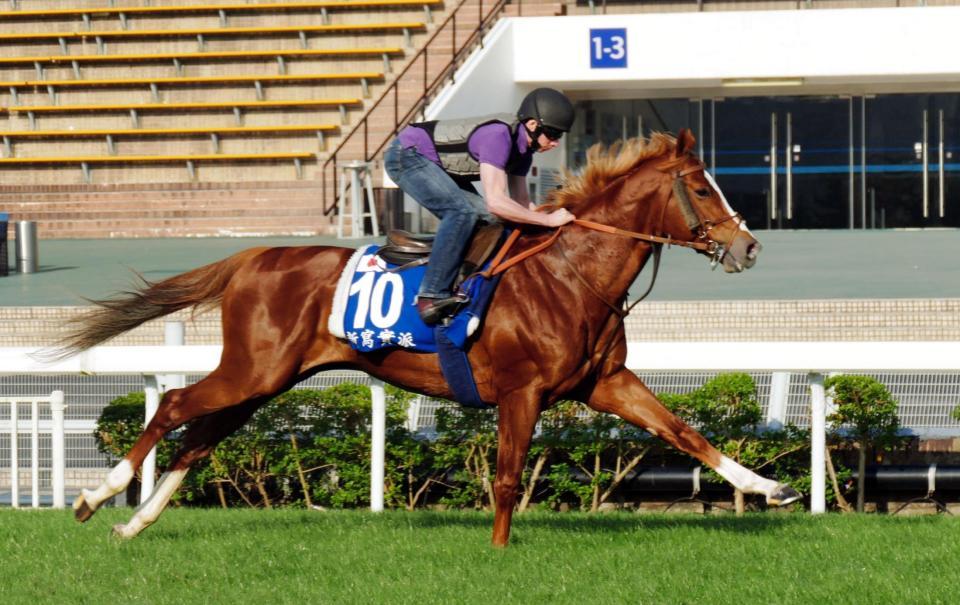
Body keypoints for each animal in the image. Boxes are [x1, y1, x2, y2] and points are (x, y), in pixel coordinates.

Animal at [64, 129, 800, 546]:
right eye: (701, 188)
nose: (749, 246)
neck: (569, 273)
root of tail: (252, 258)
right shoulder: (522, 391)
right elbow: (506, 475)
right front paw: (499, 551)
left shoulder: (604, 383)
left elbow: (686, 432)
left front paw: (770, 488)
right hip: (253, 370)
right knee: (172, 406)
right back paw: (97, 496)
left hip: (268, 378)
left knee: (201, 437)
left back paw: (134, 521)